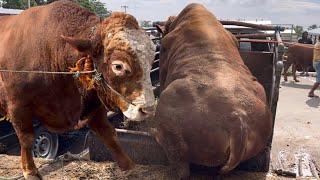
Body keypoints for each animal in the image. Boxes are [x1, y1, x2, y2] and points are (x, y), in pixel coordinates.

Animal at [0, 1, 156, 179]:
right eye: (118, 66)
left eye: (151, 59)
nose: (148, 109)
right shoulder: (17, 107)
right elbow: (27, 139)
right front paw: (30, 171)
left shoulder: (94, 106)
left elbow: (108, 133)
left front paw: (128, 165)